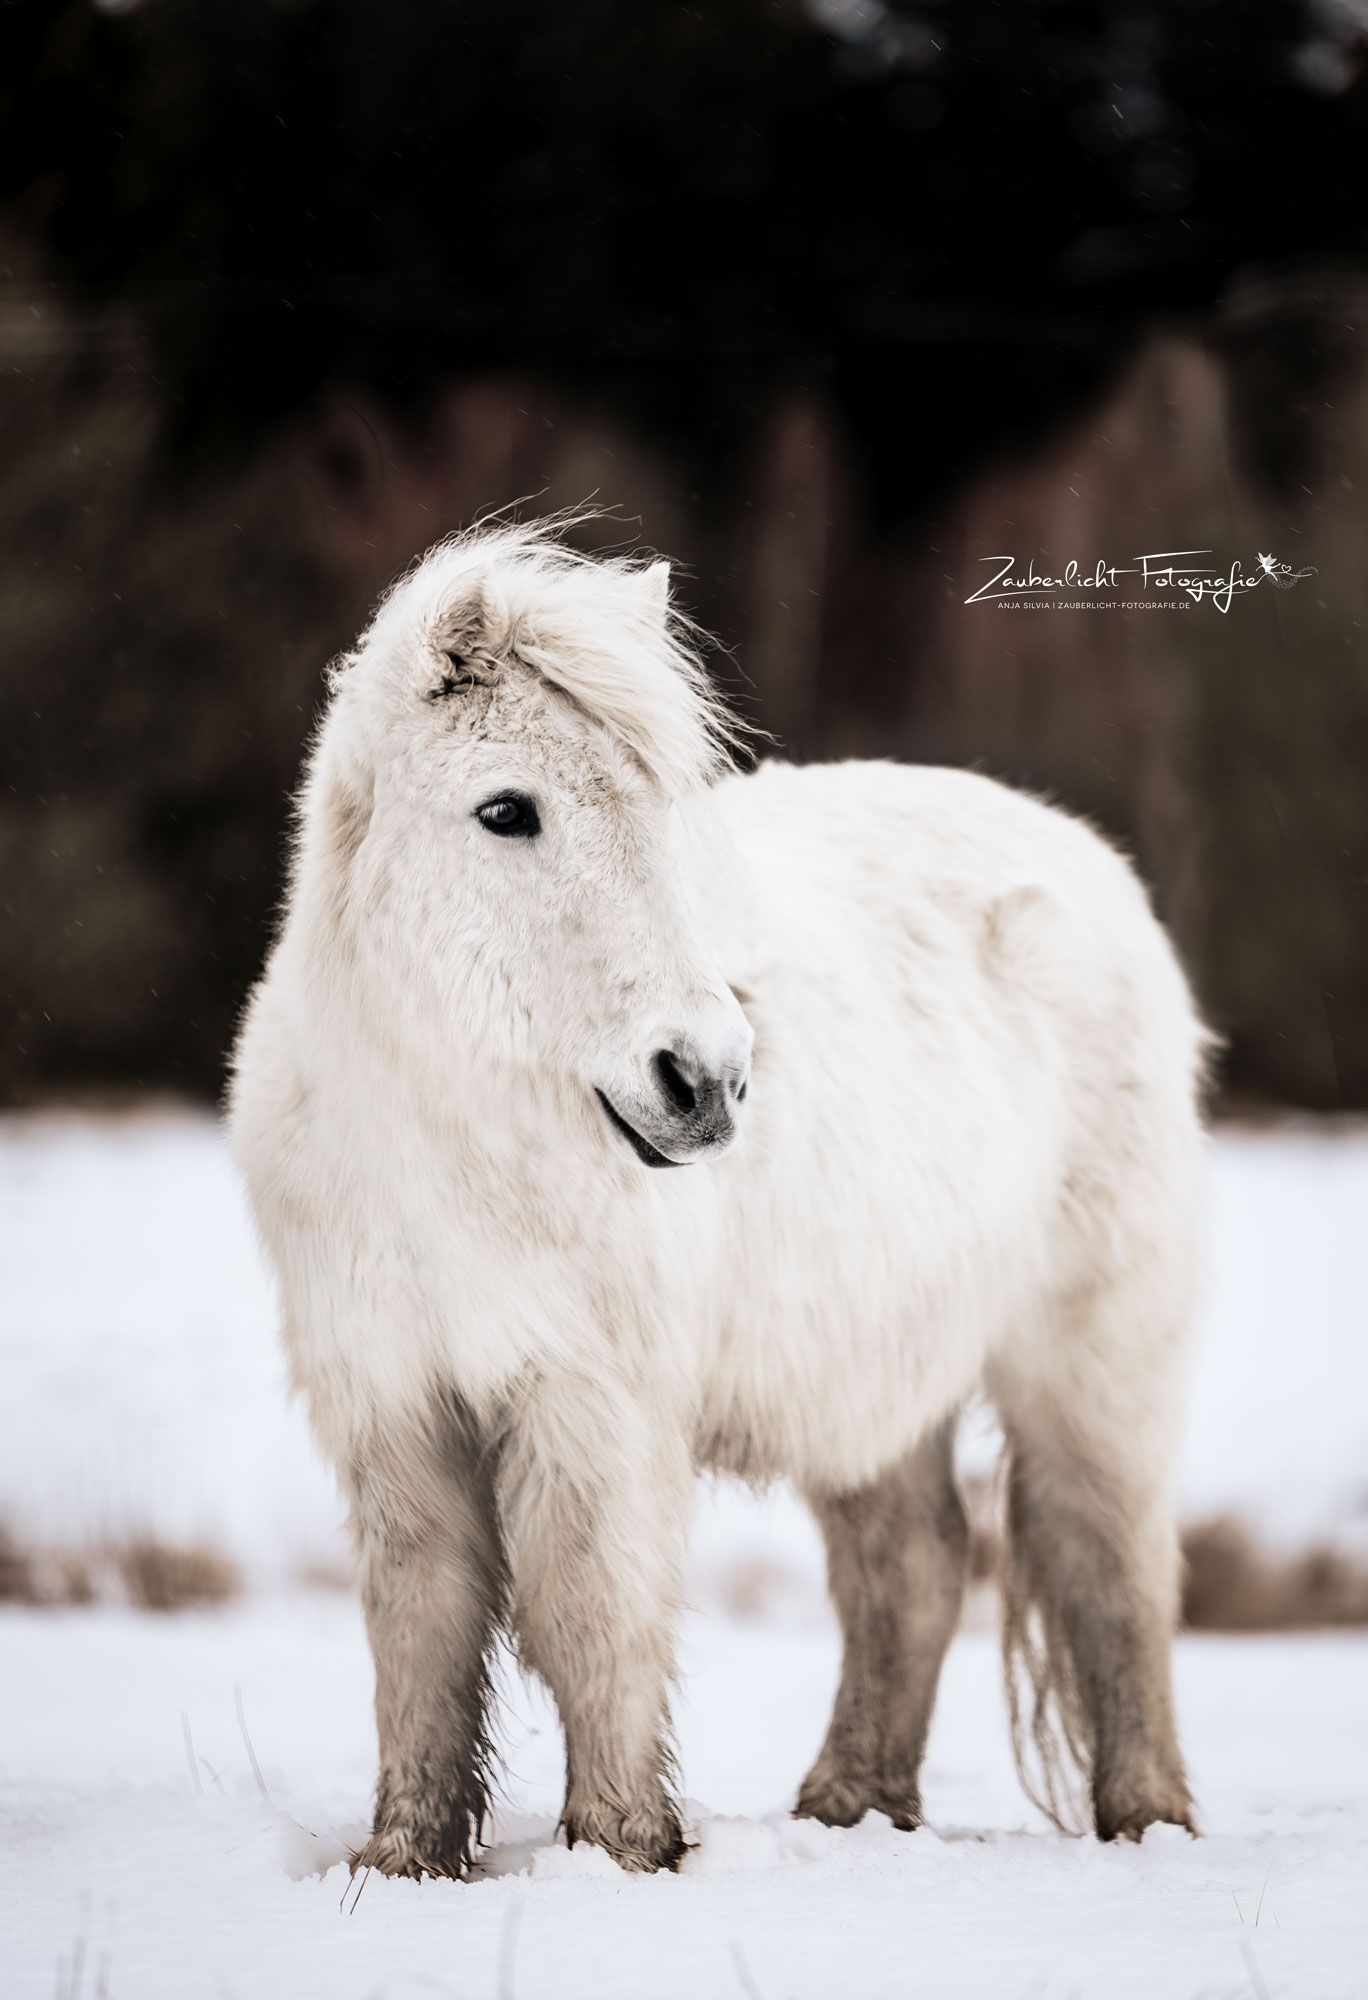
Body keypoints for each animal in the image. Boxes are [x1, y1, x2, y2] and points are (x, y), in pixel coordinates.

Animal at [230, 518, 1206, 1878]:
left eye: (661, 808)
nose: (705, 1079)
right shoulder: (393, 1403)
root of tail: (1090, 863)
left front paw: (620, 1848)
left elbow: (592, 1612)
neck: (451, 1144)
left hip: (1090, 1354)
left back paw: (1148, 1822)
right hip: (873, 1375)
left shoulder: (593, 1400)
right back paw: (851, 1806)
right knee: (913, 1566)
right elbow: (422, 1623)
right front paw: (406, 1858)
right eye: (505, 811)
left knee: (1110, 1565)